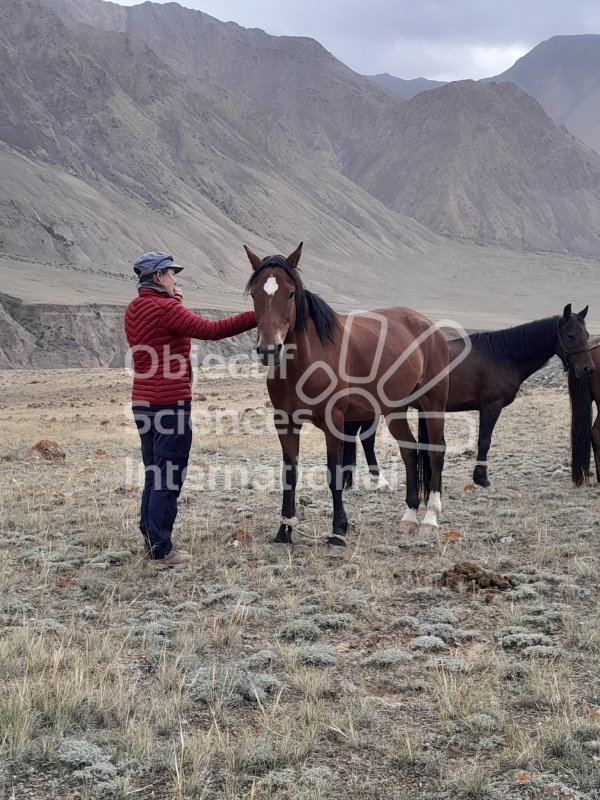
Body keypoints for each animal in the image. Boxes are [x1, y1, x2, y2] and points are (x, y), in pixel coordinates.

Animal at [245, 241, 450, 548]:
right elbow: (289, 475)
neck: (306, 362)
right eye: (255, 293)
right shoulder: (286, 422)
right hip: (395, 410)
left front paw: (338, 531)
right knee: (409, 450)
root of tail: (430, 327)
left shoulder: (335, 422)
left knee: (435, 451)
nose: (270, 350)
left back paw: (429, 519)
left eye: (290, 293)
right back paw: (410, 516)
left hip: (433, 403)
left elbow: (336, 475)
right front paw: (284, 531)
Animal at [342, 306, 596, 490]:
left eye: (586, 334)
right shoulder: (491, 406)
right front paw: (481, 478)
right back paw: (377, 480)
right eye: (570, 335)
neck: (503, 354)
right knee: (366, 439)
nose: (588, 369)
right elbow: (484, 441)